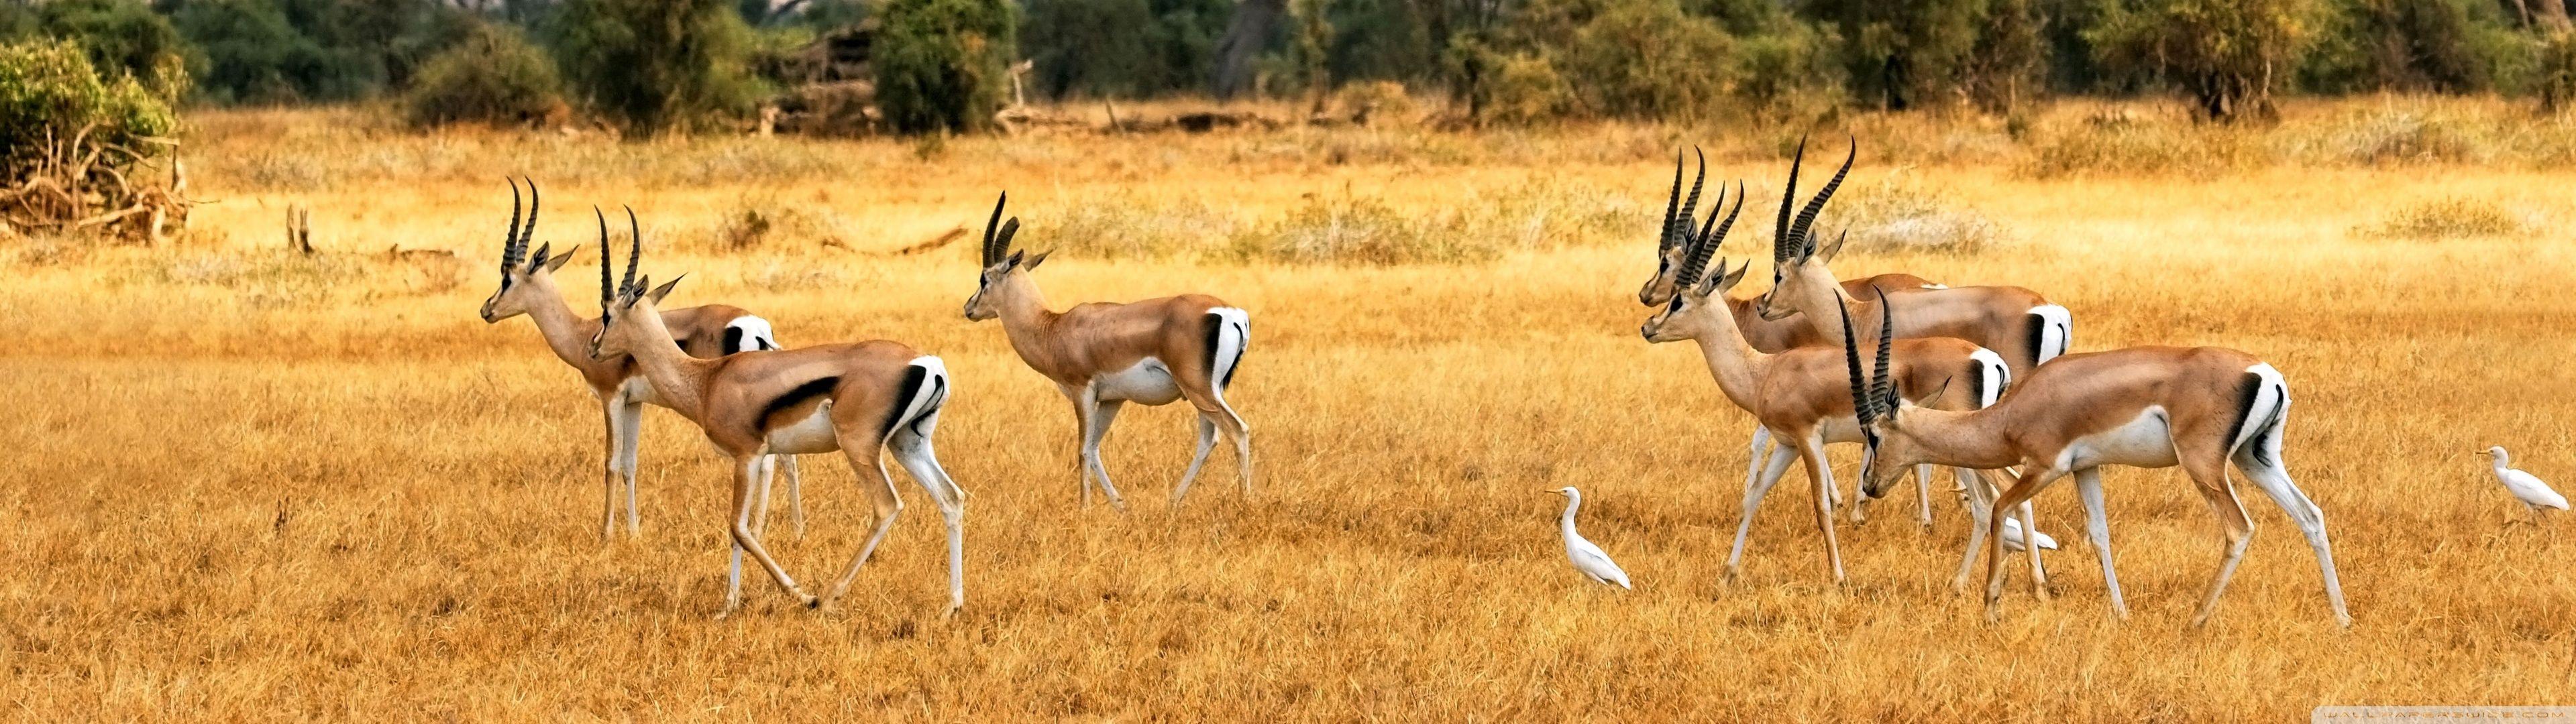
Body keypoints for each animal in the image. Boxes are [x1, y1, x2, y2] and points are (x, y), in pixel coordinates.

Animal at [476, 179, 804, 541]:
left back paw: (759, 530)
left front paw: (606, 533)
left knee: (770, 462)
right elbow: (631, 463)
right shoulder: (635, 403)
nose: (486, 309)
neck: (582, 332)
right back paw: (797, 531)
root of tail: (757, 326)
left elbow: (611, 461)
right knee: (788, 459)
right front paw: (634, 532)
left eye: (507, 279)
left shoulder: (611, 398)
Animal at [585, 208, 967, 615]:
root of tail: (927, 363)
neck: (706, 381)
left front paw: (797, 593)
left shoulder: (748, 456)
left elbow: (739, 527)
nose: (593, 348)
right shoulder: (751, 459)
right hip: (908, 445)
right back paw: (952, 607)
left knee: (887, 506)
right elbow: (739, 532)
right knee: (951, 498)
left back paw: (827, 597)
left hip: (861, 449)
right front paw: (729, 606)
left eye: (607, 315)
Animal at [962, 193, 1251, 511]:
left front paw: (1084, 508)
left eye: (984, 279)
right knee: (1209, 439)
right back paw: (1173, 501)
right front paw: (1120, 505)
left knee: (1237, 430)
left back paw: (1246, 501)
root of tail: (1231, 313)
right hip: (1207, 393)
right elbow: (1095, 447)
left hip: (1198, 390)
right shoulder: (1114, 399)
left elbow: (1082, 450)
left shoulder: (1082, 391)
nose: (968, 308)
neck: (1054, 328)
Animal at [1639, 183, 2019, 583]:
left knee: (1988, 501)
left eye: (1678, 301)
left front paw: (1838, 575)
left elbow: (1821, 505)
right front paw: (1728, 572)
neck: (1764, 371)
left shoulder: (1808, 439)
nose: (1648, 326)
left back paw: (1963, 580)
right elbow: (1753, 497)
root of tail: (1988, 358)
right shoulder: (1787, 444)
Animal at [1838, 298, 2349, 627]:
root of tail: (2265, 373)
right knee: (2311, 515)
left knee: (2240, 528)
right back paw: (2341, 618)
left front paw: (1990, 608)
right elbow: (2099, 535)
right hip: (2255, 459)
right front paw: (2120, 614)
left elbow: (2002, 508)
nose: (1871, 486)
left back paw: (2196, 618)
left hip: (2206, 466)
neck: (2013, 412)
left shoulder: (2044, 468)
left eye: (1874, 435)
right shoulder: (2087, 469)